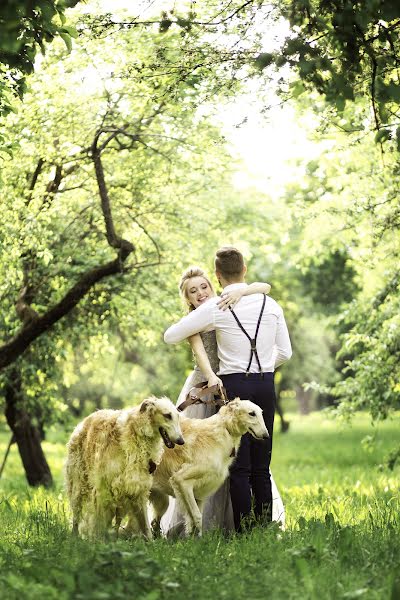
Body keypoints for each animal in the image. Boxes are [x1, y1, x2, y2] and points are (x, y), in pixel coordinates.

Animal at [65, 398, 184, 540]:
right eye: (167, 415)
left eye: (177, 416)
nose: (181, 441)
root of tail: (83, 422)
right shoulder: (102, 489)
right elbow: (98, 522)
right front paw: (97, 540)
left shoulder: (137, 488)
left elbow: (145, 525)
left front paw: (150, 542)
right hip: (78, 485)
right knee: (77, 514)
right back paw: (75, 536)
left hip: (121, 498)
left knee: (116, 521)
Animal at [149, 400, 268, 536]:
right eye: (251, 413)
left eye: (261, 413)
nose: (267, 436)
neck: (225, 430)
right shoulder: (181, 481)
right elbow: (197, 517)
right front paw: (200, 541)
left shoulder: (199, 493)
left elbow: (193, 523)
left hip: (161, 500)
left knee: (154, 523)